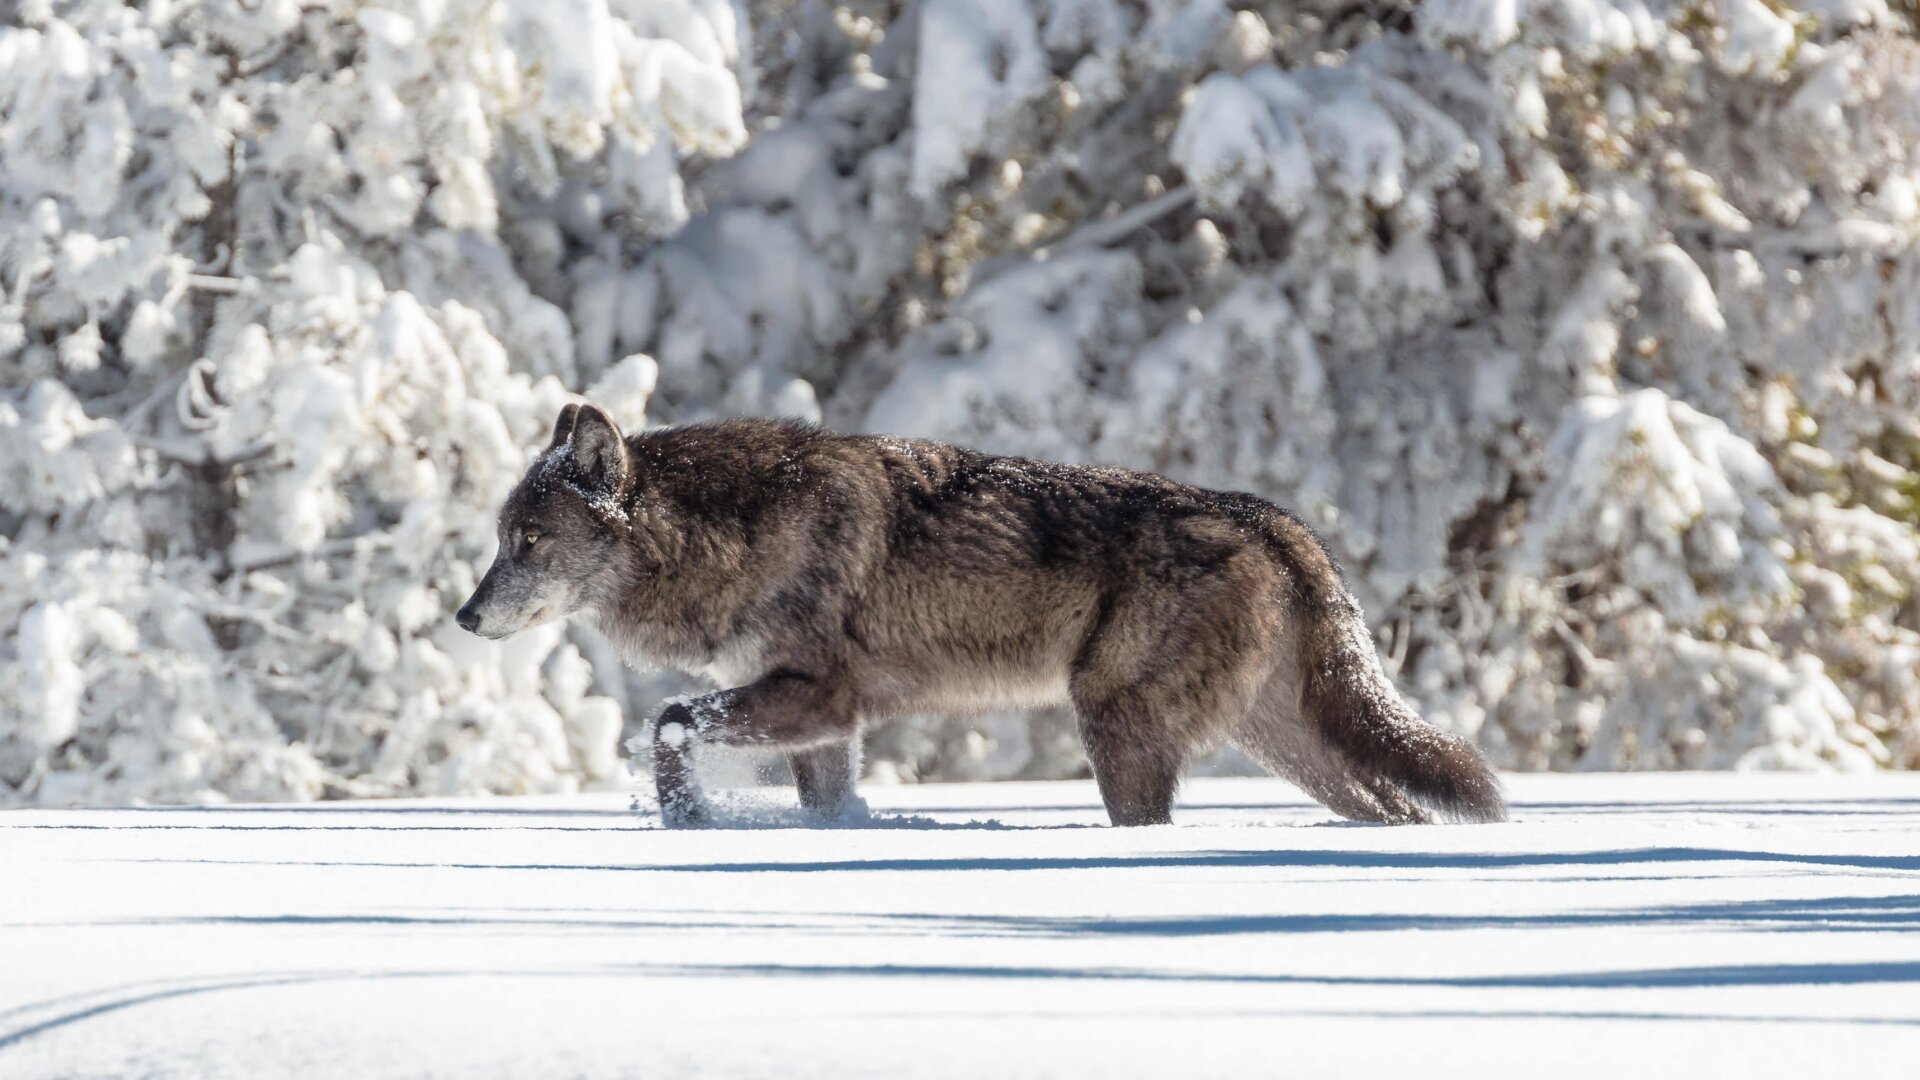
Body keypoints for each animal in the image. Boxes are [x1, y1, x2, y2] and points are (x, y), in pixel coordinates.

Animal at [457, 404, 1505, 828]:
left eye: (529, 542)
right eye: (502, 538)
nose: (464, 617)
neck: (730, 533)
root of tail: (1270, 517)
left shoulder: (817, 695)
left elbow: (667, 723)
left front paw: (689, 822)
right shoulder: (827, 724)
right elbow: (820, 801)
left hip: (1116, 724)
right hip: (1283, 745)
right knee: (1396, 808)